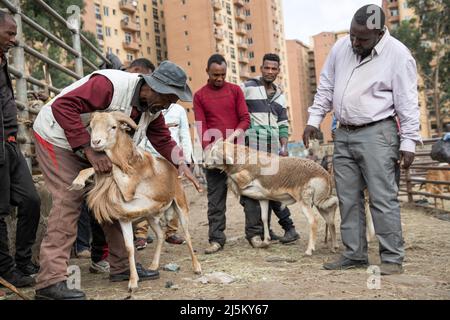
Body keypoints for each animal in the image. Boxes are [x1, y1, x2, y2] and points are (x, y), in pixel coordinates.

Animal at [203, 138, 338, 255]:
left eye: (213, 152)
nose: (204, 164)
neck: (244, 159)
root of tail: (325, 175)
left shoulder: (245, 184)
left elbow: (237, 184)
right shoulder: (263, 198)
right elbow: (263, 218)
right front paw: (266, 240)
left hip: (306, 202)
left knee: (314, 221)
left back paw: (309, 250)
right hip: (320, 203)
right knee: (331, 217)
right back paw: (334, 247)